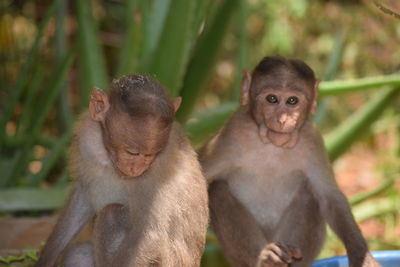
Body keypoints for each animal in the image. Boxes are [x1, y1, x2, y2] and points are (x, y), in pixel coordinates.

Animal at [34, 74, 209, 266]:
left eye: (152, 154)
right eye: (132, 152)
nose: (137, 168)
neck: (109, 160)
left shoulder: (161, 168)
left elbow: (150, 235)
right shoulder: (87, 136)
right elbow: (82, 198)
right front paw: (44, 260)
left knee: (112, 214)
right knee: (78, 253)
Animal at [200, 57, 382, 267]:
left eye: (292, 101)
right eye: (272, 99)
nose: (282, 119)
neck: (273, 145)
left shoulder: (312, 140)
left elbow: (329, 197)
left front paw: (362, 255)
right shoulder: (232, 133)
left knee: (309, 194)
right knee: (218, 191)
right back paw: (265, 258)